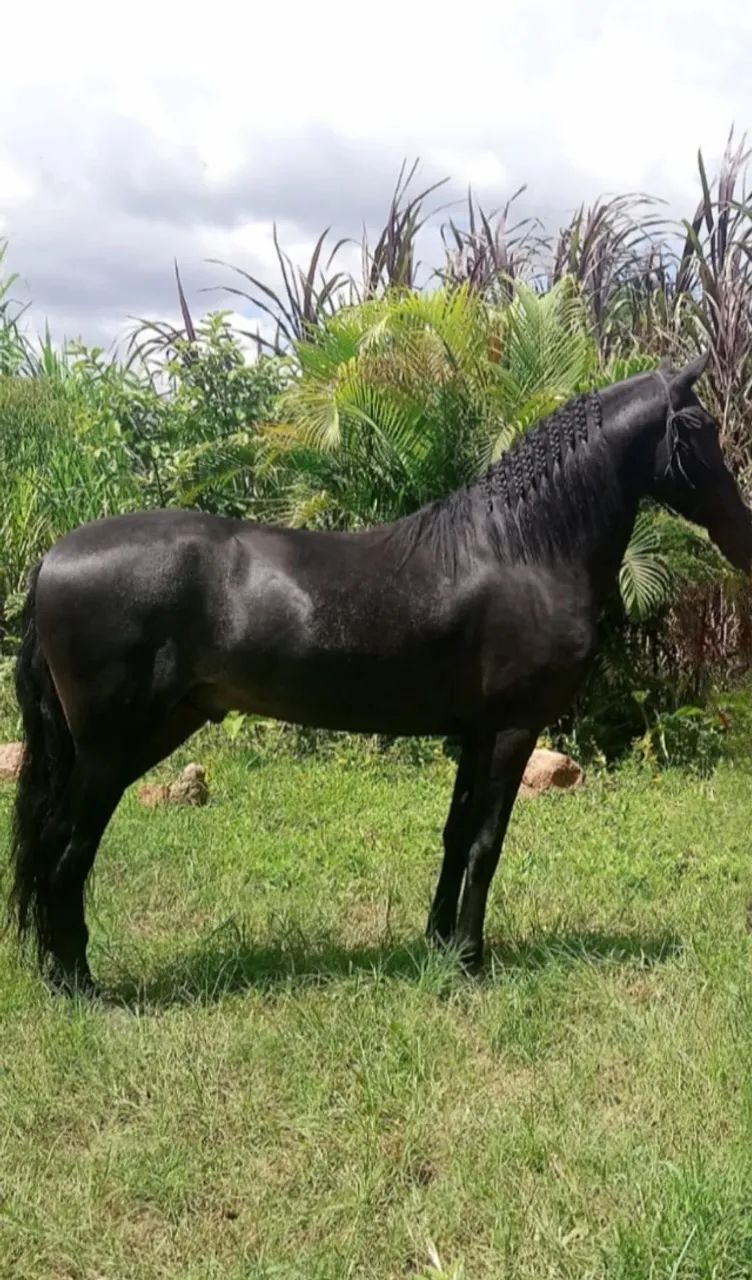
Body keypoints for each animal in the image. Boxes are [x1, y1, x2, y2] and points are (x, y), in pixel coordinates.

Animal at [7, 353, 752, 992]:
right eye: (701, 430)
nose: (742, 535)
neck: (521, 550)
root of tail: (54, 558)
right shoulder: (513, 730)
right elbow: (486, 844)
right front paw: (472, 962)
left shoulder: (475, 732)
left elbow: (456, 836)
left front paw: (440, 944)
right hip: (110, 750)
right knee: (66, 853)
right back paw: (79, 983)